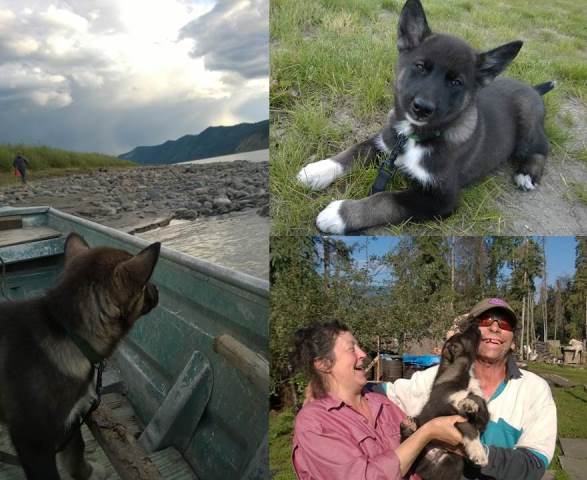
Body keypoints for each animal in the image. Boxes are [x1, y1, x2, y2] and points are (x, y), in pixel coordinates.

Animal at [0, 234, 161, 478]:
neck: (66, 331)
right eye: (144, 285)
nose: (158, 289)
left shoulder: (71, 419)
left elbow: (76, 450)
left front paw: (88, 472)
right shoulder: (32, 441)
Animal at [300, 0, 552, 233]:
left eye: (456, 82)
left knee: (542, 147)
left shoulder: (442, 198)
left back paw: (527, 174)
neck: (414, 136)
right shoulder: (386, 142)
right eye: (420, 66)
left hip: (528, 127)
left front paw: (340, 214)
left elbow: (387, 200)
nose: (422, 108)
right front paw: (317, 170)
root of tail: (532, 88)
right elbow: (354, 151)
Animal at [404, 324, 492, 480]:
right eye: (463, 335)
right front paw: (479, 453)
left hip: (453, 461)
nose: (476, 324)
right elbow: (467, 426)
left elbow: (478, 400)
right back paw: (410, 425)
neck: (464, 374)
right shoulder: (443, 411)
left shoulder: (480, 420)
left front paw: (469, 403)